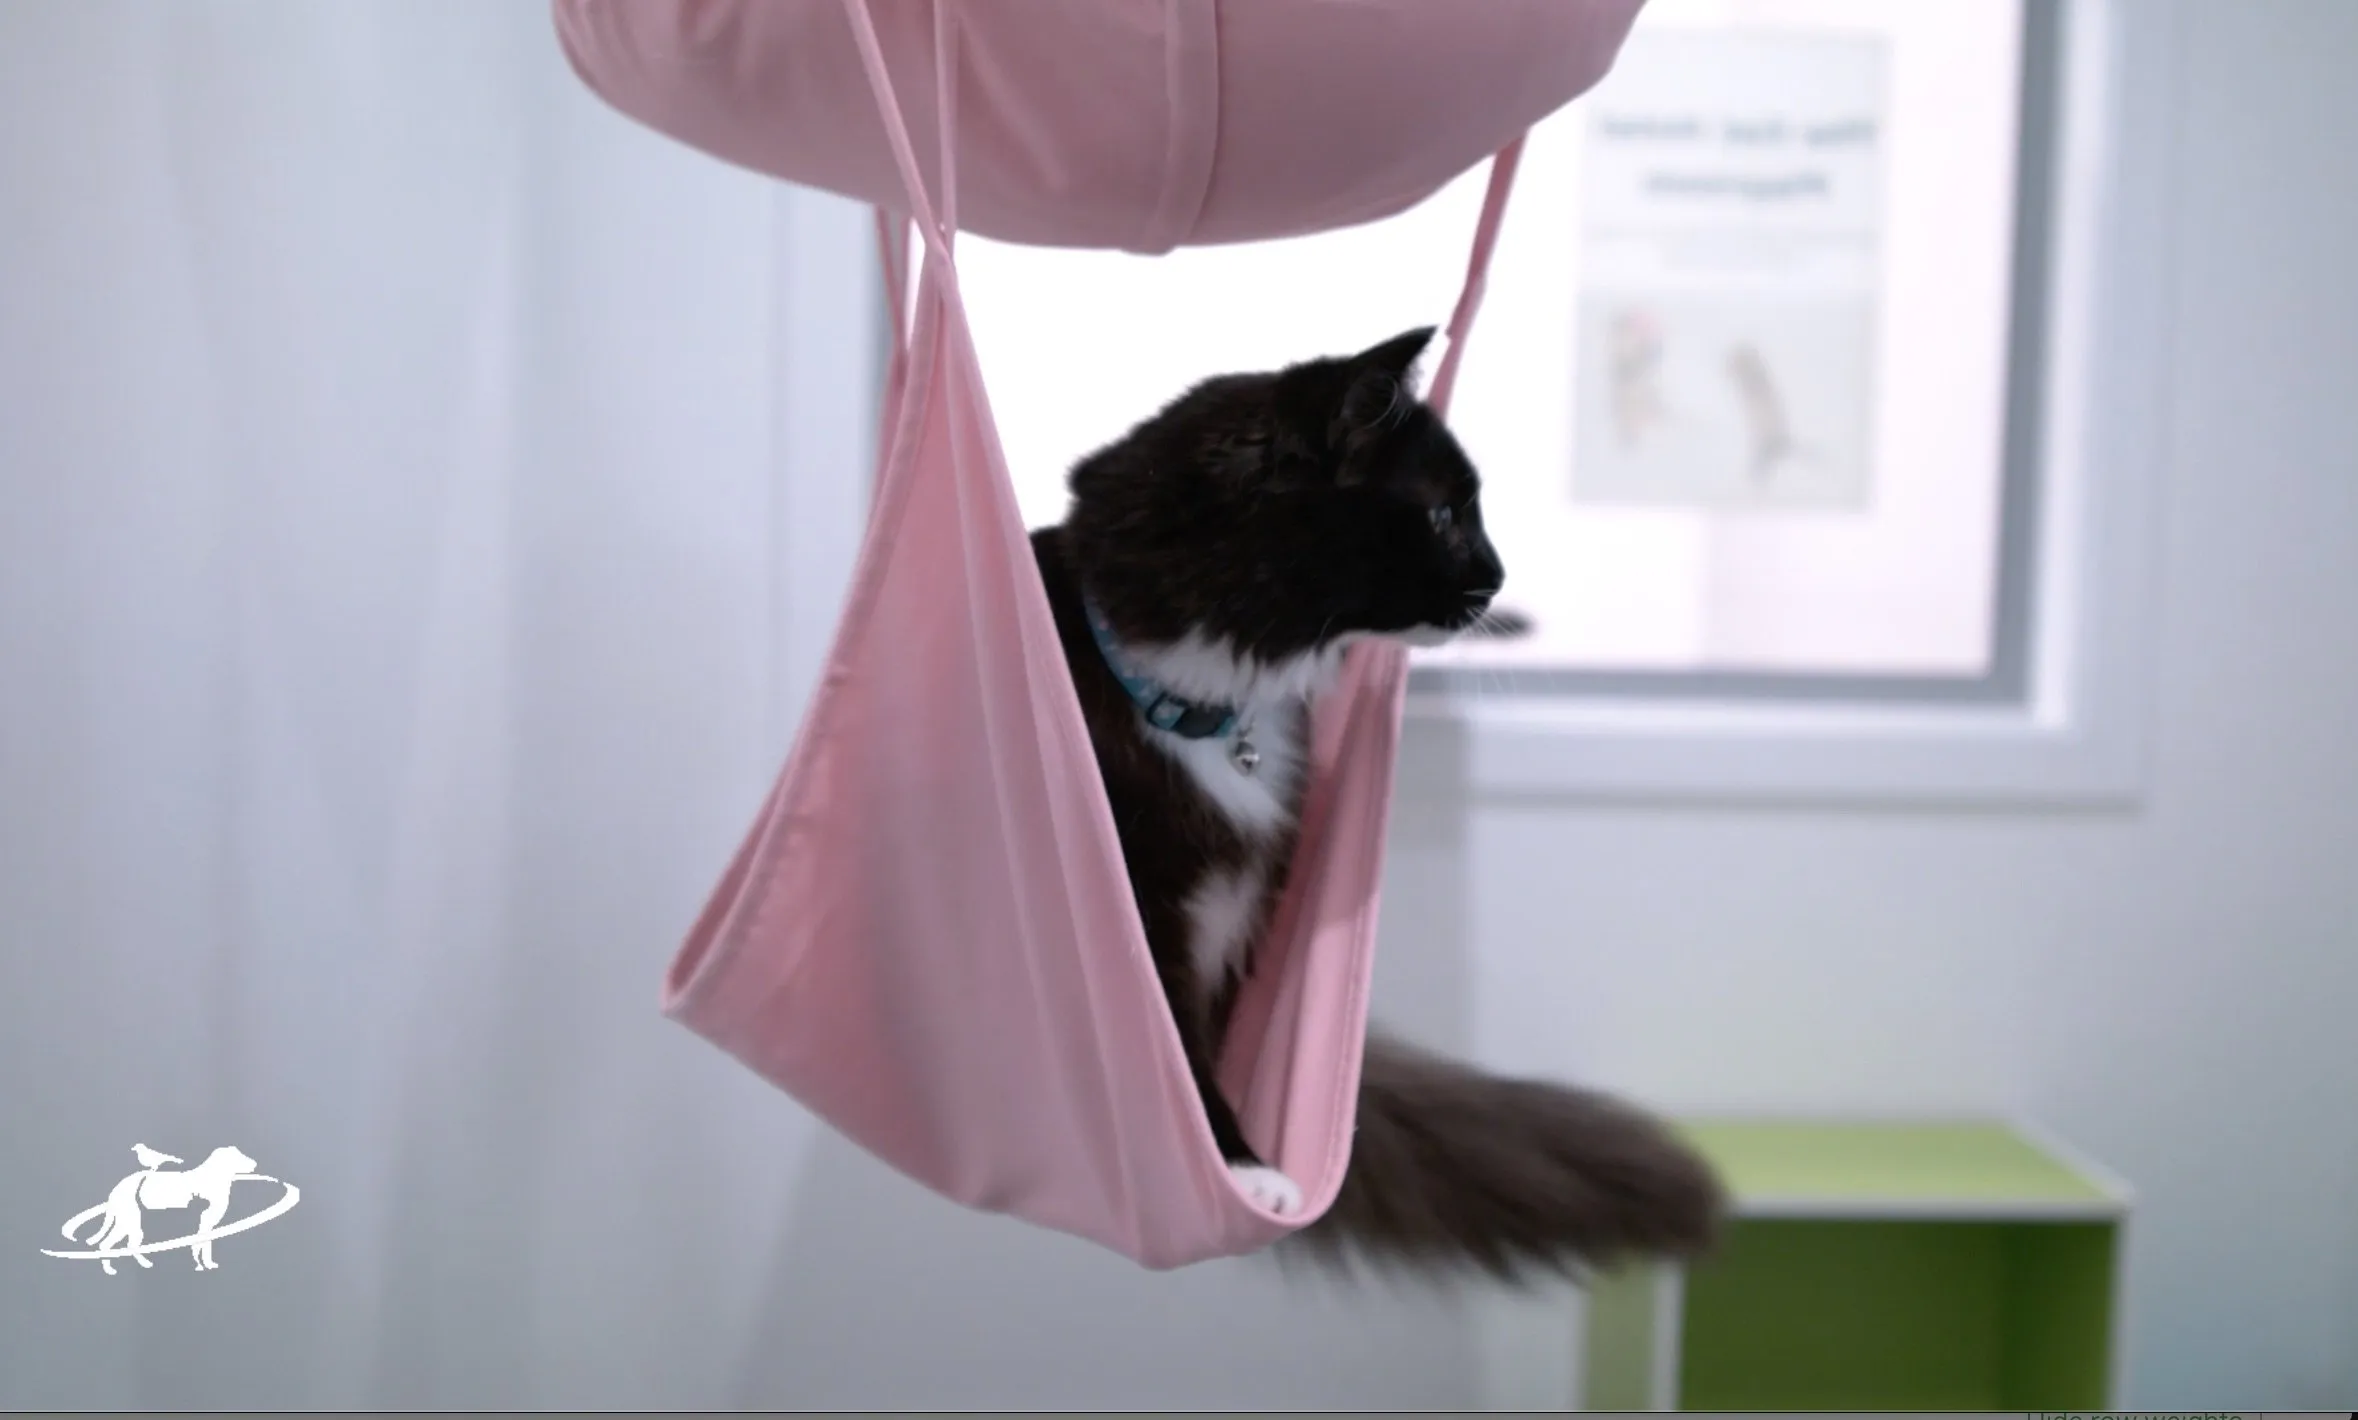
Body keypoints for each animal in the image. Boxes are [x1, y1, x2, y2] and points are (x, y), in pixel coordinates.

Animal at [1023, 325, 1726, 1273]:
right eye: (1442, 516)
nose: (1500, 577)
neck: (1200, 705)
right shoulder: (1140, 904)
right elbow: (1176, 1049)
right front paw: (1243, 1169)